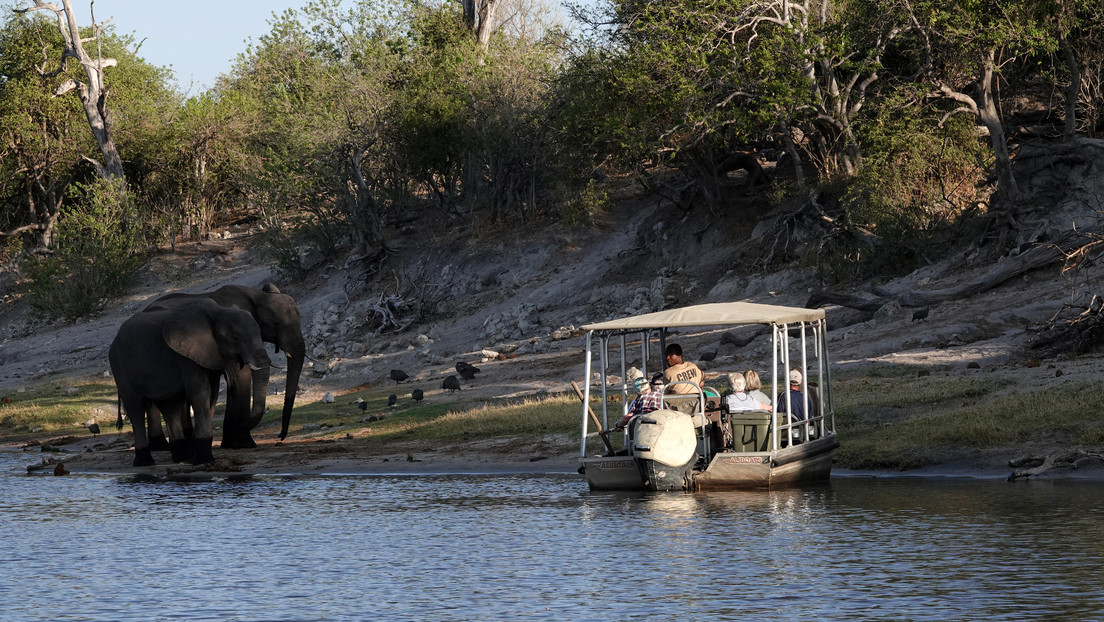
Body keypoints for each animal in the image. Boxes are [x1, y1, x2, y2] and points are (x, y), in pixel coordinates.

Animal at [108, 298, 271, 468]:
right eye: (236, 338)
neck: (217, 311)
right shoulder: (185, 354)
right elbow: (199, 391)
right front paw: (202, 460)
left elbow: (211, 393)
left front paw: (195, 456)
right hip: (119, 365)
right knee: (135, 408)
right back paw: (144, 462)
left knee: (170, 406)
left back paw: (181, 457)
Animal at [144, 282, 306, 448]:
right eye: (277, 323)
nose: (280, 437)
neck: (258, 296)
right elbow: (241, 375)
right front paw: (245, 444)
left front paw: (229, 443)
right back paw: (162, 446)